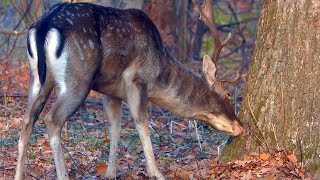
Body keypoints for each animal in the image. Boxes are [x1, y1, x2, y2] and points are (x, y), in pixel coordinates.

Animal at [15, 0, 244, 179]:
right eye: (227, 94)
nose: (240, 127)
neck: (158, 69)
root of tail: (43, 26)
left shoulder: (111, 91)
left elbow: (115, 127)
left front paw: (110, 173)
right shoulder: (137, 79)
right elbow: (141, 122)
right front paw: (156, 173)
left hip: (38, 78)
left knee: (27, 120)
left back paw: (18, 175)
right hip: (78, 77)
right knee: (52, 119)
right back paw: (63, 175)